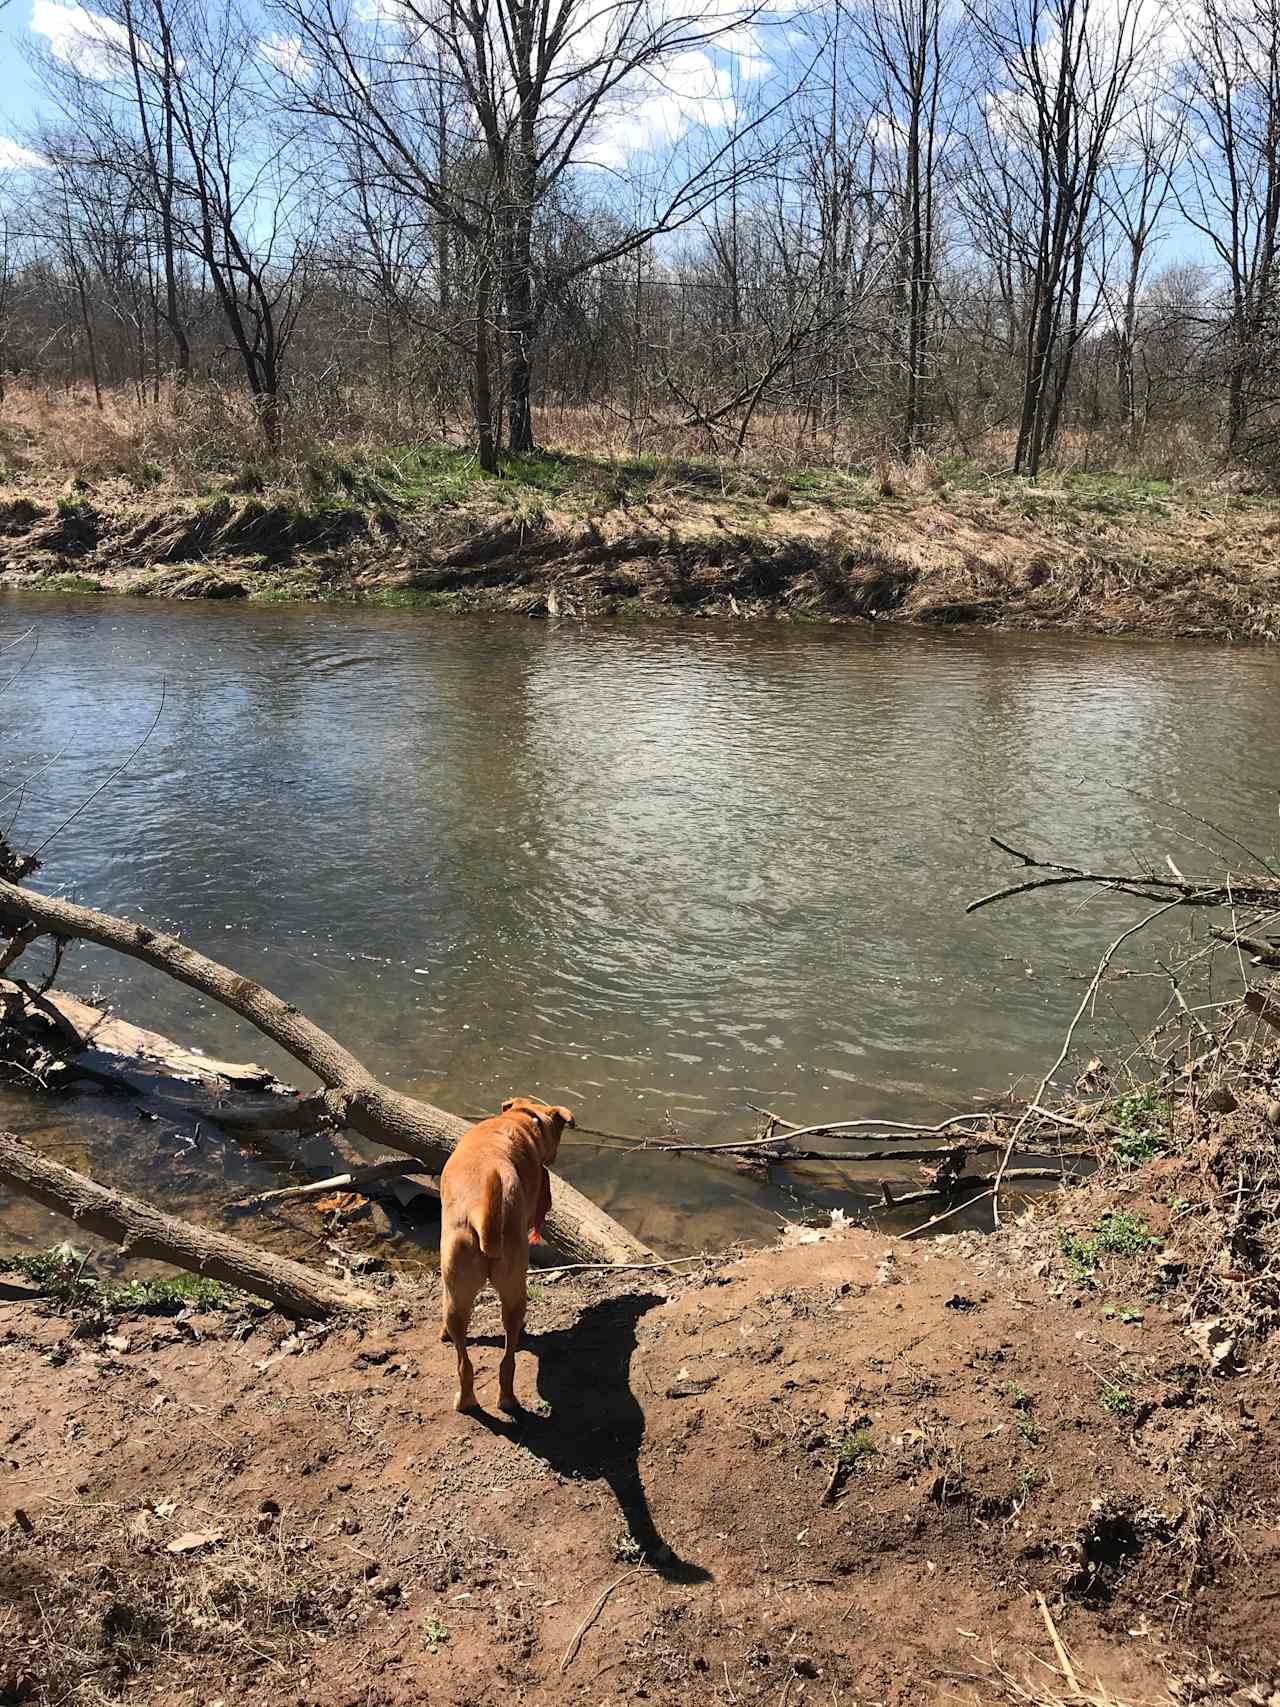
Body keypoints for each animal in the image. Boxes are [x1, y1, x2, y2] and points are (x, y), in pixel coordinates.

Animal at [447, 1092, 576, 1413]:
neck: (520, 1119)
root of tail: (482, 1213)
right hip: (511, 1286)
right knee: (507, 1359)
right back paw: (505, 1399)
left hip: (459, 1293)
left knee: (467, 1363)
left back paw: (469, 1401)